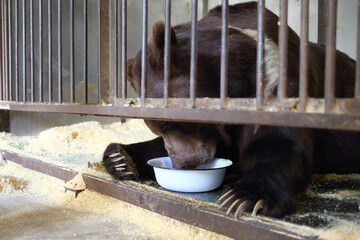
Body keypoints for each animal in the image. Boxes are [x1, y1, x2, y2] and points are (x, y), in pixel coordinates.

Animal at [102, 1, 360, 218]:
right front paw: (119, 157)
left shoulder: (277, 82)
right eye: (156, 127)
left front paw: (245, 197)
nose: (183, 164)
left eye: (169, 124)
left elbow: (279, 142)